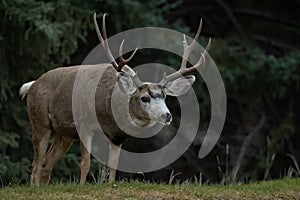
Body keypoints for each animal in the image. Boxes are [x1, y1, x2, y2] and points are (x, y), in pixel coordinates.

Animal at [19, 12, 211, 185]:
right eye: (144, 98)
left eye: (164, 96)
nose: (167, 116)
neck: (107, 111)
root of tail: (32, 85)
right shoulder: (83, 124)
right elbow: (85, 164)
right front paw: (81, 187)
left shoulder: (117, 137)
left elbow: (113, 167)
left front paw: (110, 184)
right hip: (40, 123)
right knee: (36, 164)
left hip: (63, 135)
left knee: (46, 165)